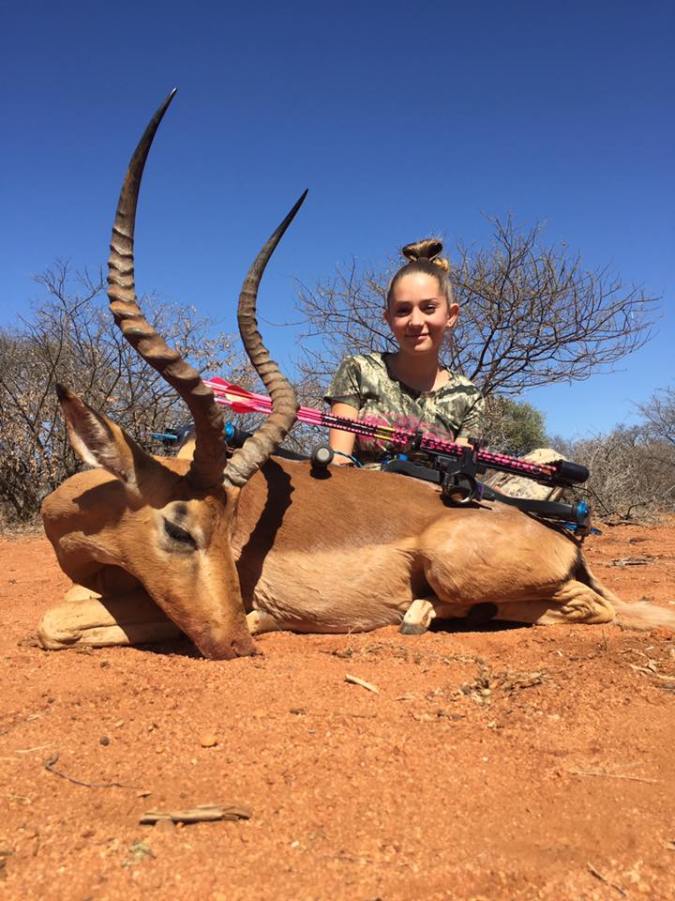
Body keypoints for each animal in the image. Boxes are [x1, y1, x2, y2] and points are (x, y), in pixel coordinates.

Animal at [38, 93, 674, 660]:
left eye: (225, 529)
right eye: (179, 529)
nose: (237, 643)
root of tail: (559, 539)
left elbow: (54, 621)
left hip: (462, 573)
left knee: (589, 608)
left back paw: (415, 616)